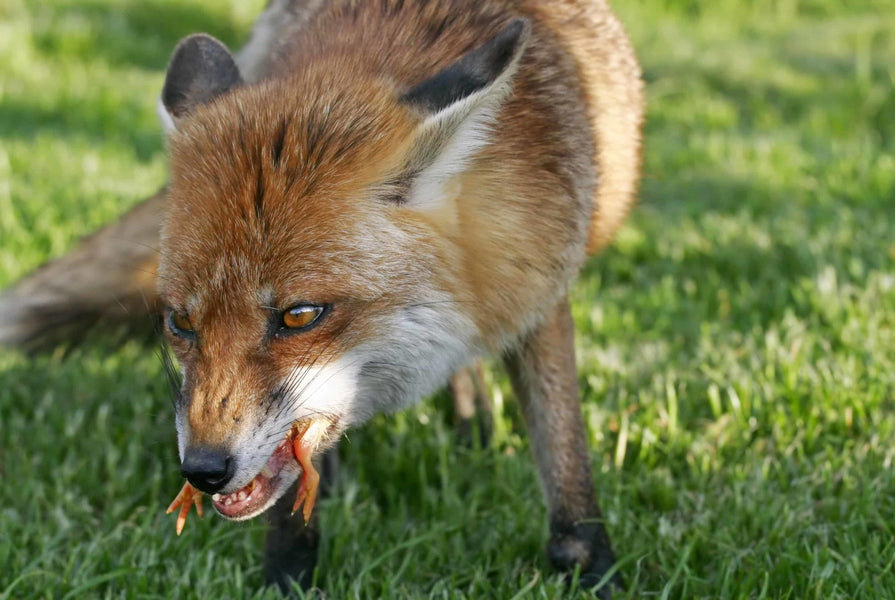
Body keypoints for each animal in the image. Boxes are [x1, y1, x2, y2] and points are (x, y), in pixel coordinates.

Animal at [0, 0, 644, 592]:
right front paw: (287, 578)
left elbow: (565, 453)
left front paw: (595, 571)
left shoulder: (539, 281)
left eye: (299, 315)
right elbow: (289, 496)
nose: (203, 470)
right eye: (179, 322)